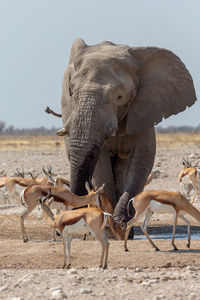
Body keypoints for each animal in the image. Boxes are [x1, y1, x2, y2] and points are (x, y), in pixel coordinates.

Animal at [57, 38, 195, 232]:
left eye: (120, 97)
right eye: (71, 91)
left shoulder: (146, 107)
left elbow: (142, 159)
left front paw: (122, 223)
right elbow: (101, 166)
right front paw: (112, 228)